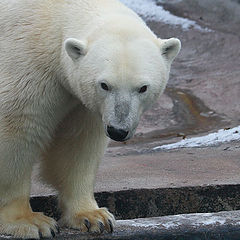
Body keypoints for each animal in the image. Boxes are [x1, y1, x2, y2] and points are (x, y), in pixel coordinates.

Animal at [0, 0, 180, 237]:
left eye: (143, 88)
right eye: (104, 85)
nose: (118, 131)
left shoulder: (83, 104)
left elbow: (78, 144)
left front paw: (94, 217)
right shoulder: (24, 65)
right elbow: (16, 131)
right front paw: (30, 222)